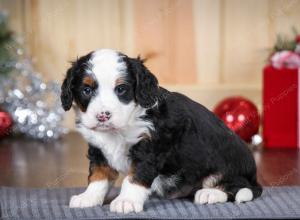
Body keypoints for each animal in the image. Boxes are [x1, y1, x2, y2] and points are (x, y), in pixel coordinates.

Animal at [61, 48, 262, 213]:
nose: (103, 116)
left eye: (121, 89)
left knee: (237, 187)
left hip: (228, 166)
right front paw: (88, 197)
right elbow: (98, 176)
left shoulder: (150, 147)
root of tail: (254, 176)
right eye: (87, 90)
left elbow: (134, 177)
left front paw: (126, 201)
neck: (120, 129)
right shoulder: (99, 151)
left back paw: (210, 193)